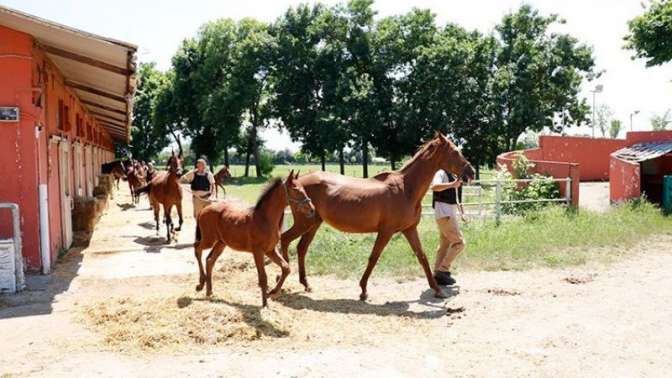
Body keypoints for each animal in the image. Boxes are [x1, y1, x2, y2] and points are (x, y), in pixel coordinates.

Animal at [194, 171, 316, 308]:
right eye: (295, 189)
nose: (312, 209)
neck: (264, 219)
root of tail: (203, 210)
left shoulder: (270, 250)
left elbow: (286, 268)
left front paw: (272, 292)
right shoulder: (258, 251)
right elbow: (263, 277)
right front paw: (265, 303)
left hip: (221, 243)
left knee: (210, 260)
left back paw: (209, 291)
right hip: (209, 240)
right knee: (197, 248)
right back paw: (200, 284)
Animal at [280, 133, 476, 302]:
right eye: (455, 151)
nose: (472, 172)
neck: (406, 189)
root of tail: (295, 183)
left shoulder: (409, 229)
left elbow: (422, 257)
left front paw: (437, 289)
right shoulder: (386, 231)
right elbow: (374, 257)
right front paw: (363, 290)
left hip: (314, 223)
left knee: (301, 248)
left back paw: (305, 284)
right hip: (304, 223)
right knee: (285, 239)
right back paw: (282, 277)